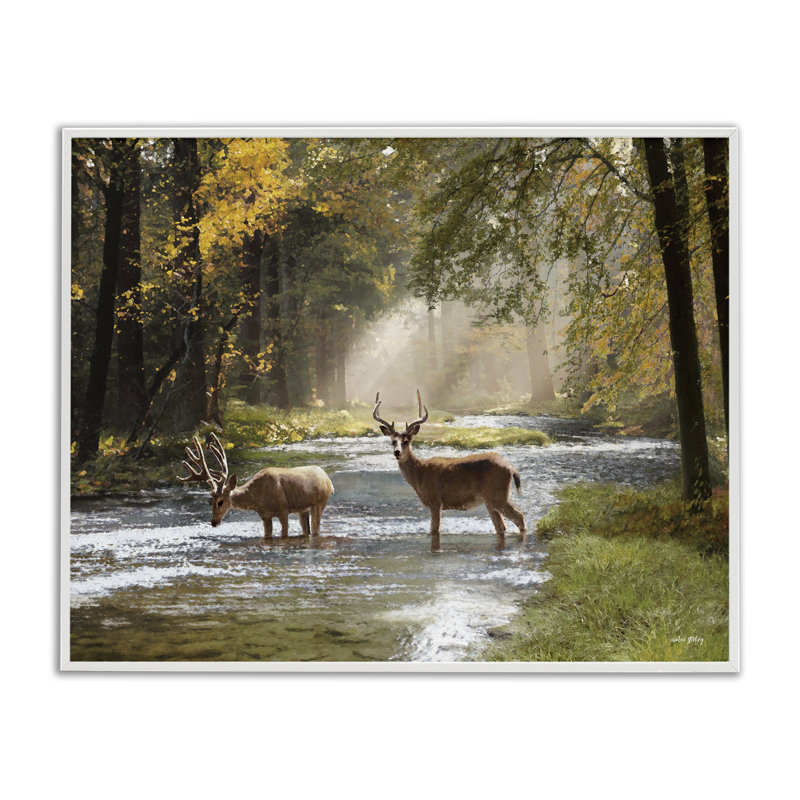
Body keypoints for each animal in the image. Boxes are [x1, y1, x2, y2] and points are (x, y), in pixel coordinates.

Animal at [177, 432, 334, 539]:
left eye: (221, 501)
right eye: (211, 500)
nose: (213, 522)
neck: (258, 498)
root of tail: (328, 480)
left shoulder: (283, 510)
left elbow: (284, 534)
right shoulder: (264, 516)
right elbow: (267, 535)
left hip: (319, 502)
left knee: (316, 530)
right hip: (302, 509)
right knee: (307, 531)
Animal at [373, 390, 526, 538]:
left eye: (406, 441)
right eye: (392, 441)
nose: (397, 452)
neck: (419, 473)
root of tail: (511, 468)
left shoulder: (435, 501)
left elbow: (434, 530)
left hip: (498, 495)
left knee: (519, 517)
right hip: (490, 500)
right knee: (501, 526)